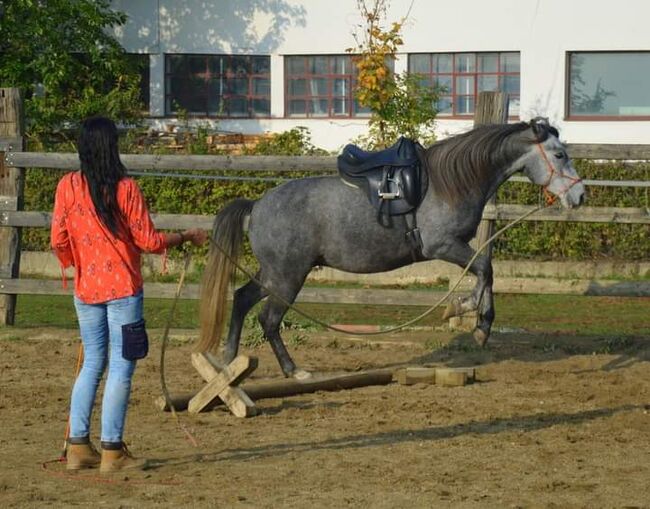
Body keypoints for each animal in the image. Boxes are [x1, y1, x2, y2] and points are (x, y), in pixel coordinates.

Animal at [195, 116, 584, 378]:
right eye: (560, 155)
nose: (580, 195)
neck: (449, 181)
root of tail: (258, 204)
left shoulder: (459, 246)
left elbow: (486, 272)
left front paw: (478, 322)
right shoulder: (443, 245)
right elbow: (484, 271)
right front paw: (470, 315)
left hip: (273, 274)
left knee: (242, 299)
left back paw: (227, 361)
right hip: (288, 277)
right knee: (269, 319)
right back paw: (293, 370)